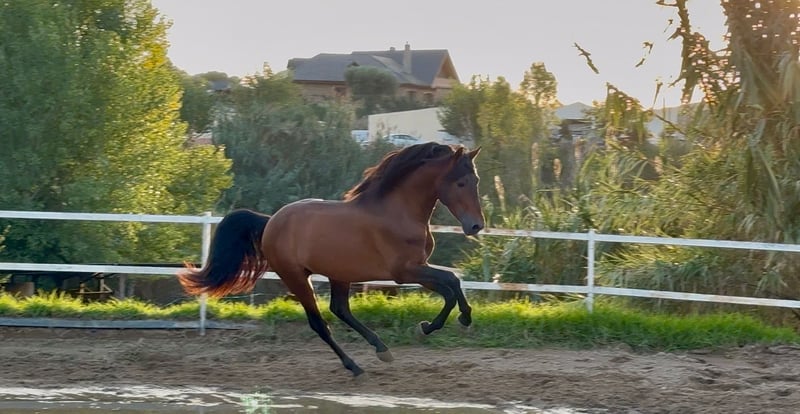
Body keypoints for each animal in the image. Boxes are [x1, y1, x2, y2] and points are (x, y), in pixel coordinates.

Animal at [177, 142, 484, 377]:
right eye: (460, 182)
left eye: (477, 181)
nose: (476, 226)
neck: (398, 212)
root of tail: (271, 222)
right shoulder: (405, 272)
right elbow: (450, 285)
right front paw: (432, 326)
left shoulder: (416, 270)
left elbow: (453, 282)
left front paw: (461, 319)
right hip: (296, 277)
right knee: (320, 323)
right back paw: (354, 366)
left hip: (339, 274)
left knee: (340, 309)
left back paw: (381, 350)